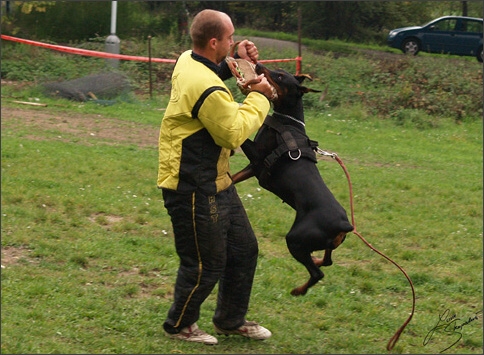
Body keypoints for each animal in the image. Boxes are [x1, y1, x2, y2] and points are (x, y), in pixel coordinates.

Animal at [233, 63, 354, 294]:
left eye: (280, 76)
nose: (258, 65)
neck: (288, 122)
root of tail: (344, 224)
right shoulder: (254, 168)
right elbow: (234, 177)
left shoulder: (257, 157)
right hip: (324, 243)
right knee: (327, 261)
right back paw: (316, 261)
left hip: (296, 239)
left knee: (318, 274)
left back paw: (299, 290)